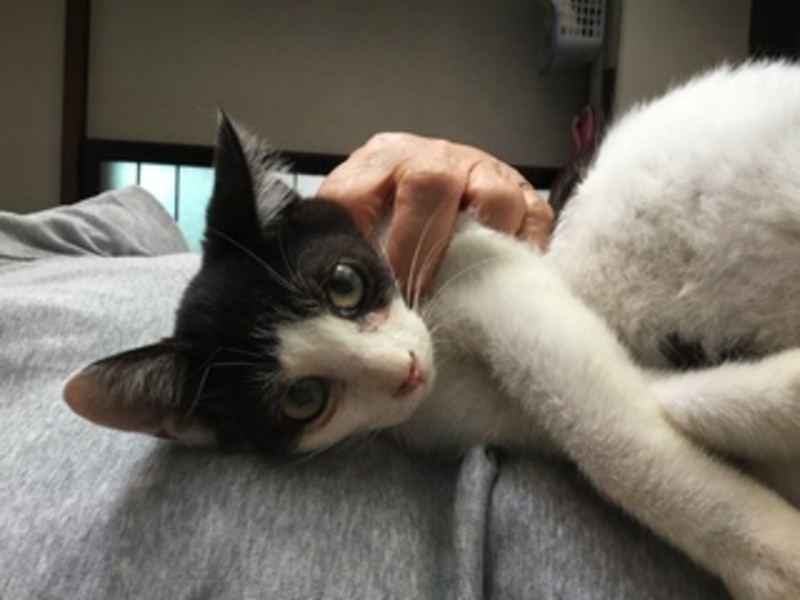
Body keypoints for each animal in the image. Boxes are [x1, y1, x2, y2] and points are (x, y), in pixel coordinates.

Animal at [64, 60, 800, 598]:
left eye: (344, 284)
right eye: (303, 400)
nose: (404, 370)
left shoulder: (488, 266)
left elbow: (608, 434)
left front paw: (774, 557)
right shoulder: (461, 411)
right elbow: (612, 406)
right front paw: (753, 417)